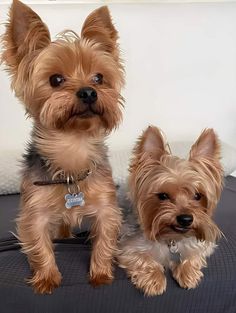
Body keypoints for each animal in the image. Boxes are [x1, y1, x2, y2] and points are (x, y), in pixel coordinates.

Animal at [0, 0, 124, 292]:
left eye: (99, 77)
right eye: (55, 79)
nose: (88, 92)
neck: (72, 147)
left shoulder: (106, 205)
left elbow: (104, 239)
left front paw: (101, 274)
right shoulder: (35, 210)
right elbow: (38, 244)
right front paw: (46, 277)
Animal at [118, 125, 223, 294]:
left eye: (197, 195)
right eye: (163, 195)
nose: (186, 219)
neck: (172, 237)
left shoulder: (201, 244)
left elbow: (194, 255)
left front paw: (188, 273)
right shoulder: (128, 247)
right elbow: (142, 258)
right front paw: (154, 280)